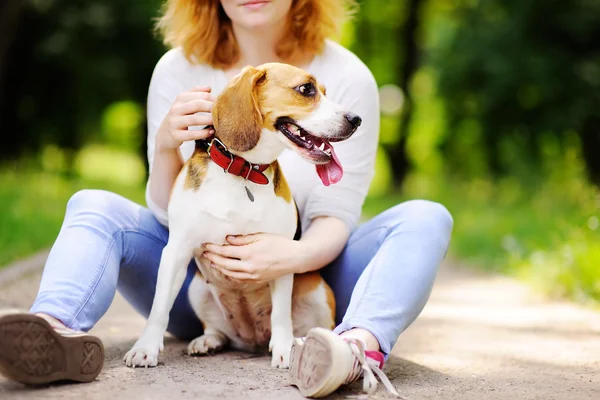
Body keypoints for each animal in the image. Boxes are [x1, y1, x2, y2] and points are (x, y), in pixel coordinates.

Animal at [123, 61, 360, 368]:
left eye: (325, 92)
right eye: (306, 89)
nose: (356, 119)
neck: (243, 171)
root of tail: (252, 340)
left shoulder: (279, 254)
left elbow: (281, 314)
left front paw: (284, 349)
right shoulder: (175, 251)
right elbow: (159, 307)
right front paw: (146, 348)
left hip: (319, 291)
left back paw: (303, 343)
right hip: (196, 289)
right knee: (218, 330)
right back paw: (208, 340)